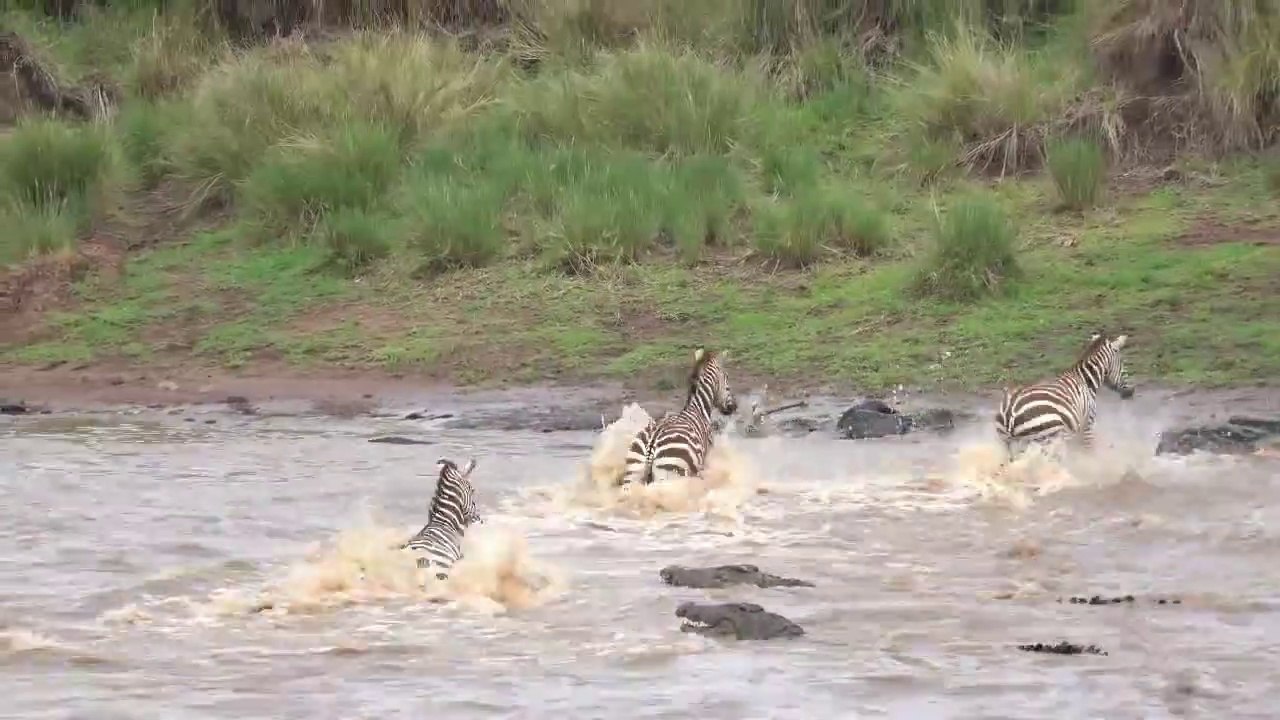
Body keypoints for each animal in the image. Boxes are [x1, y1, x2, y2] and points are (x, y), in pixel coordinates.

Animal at [621, 347, 738, 485]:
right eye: (727, 379)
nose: (733, 407)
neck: (698, 408)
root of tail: (652, 443)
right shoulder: (706, 459)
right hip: (671, 474)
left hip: (633, 471)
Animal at [995, 331, 1135, 455]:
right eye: (1123, 365)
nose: (1131, 392)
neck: (1086, 380)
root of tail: (1011, 412)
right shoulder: (1088, 425)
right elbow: (1089, 452)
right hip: (1049, 440)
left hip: (1009, 445)